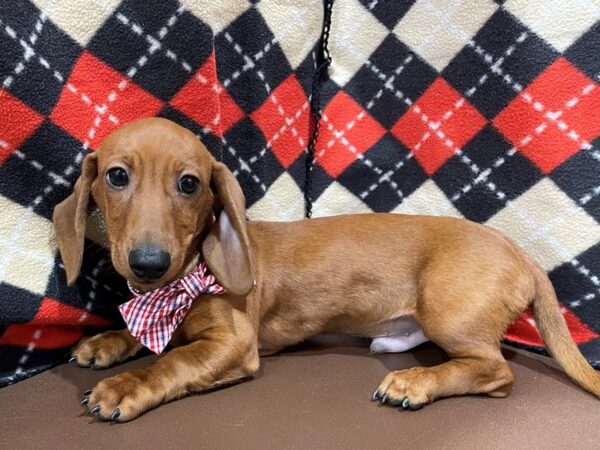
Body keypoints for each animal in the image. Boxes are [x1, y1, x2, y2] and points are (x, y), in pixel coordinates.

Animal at [54, 118, 596, 420]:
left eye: (190, 184)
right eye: (116, 176)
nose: (148, 263)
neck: (180, 283)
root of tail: (520, 251)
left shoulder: (234, 344)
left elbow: (173, 361)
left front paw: (127, 385)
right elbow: (142, 336)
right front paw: (108, 342)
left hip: (450, 314)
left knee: (495, 371)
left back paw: (415, 383)